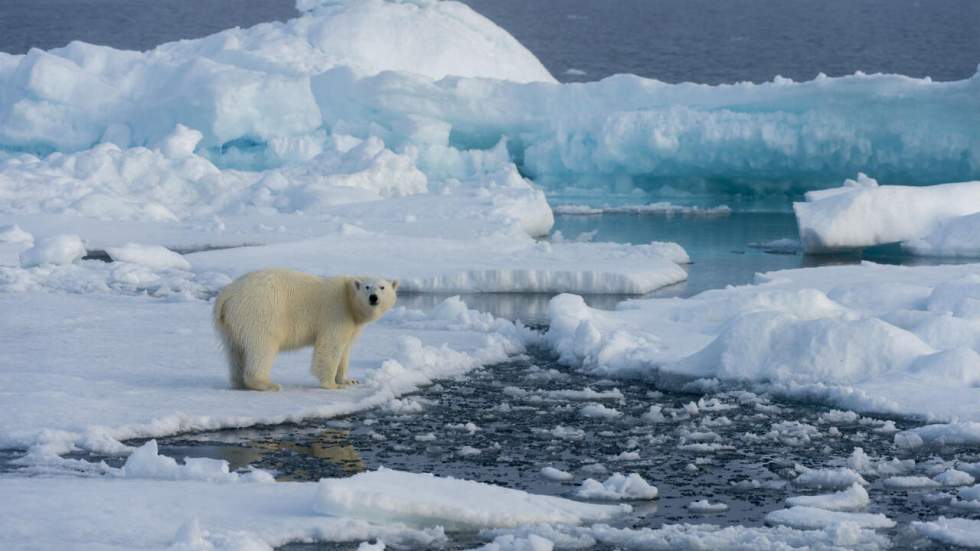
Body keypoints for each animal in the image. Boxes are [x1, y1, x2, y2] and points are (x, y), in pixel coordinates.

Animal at [213, 270, 398, 390]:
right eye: (367, 287)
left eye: (382, 287)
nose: (373, 298)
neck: (348, 299)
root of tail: (226, 295)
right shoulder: (336, 313)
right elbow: (329, 347)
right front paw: (332, 384)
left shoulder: (352, 324)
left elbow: (345, 350)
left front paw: (348, 380)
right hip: (260, 311)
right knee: (263, 346)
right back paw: (267, 384)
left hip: (230, 324)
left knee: (235, 350)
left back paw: (239, 382)